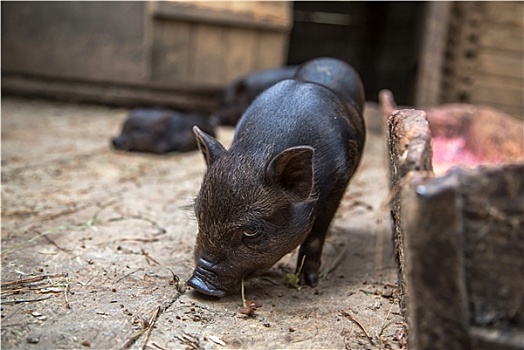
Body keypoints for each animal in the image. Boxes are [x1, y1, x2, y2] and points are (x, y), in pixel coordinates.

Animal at [187, 58, 364, 298]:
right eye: (199, 214)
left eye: (251, 230)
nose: (198, 284)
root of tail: (330, 60)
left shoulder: (339, 182)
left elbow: (317, 232)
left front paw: (308, 283)